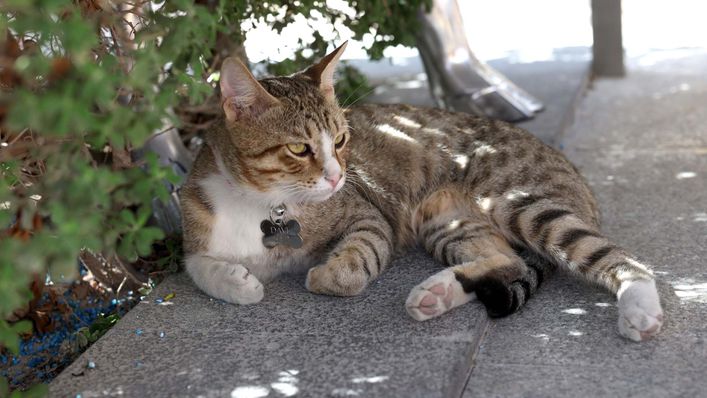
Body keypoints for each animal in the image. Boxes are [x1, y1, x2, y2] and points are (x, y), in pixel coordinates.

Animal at [181, 42, 664, 342]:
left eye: (341, 140)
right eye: (299, 148)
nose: (338, 177)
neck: (265, 203)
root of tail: (579, 179)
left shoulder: (367, 214)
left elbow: (356, 261)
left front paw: (325, 274)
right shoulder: (195, 219)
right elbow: (197, 264)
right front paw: (235, 281)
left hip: (518, 202)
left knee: (623, 259)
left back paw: (640, 308)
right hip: (446, 223)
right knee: (505, 260)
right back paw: (438, 292)